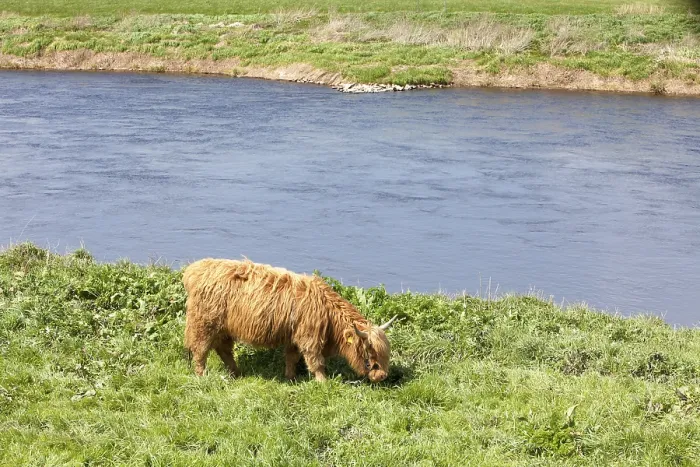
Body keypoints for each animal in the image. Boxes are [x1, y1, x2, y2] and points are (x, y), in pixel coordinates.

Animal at [182, 258, 398, 383]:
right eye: (370, 351)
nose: (382, 376)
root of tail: (194, 269)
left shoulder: (294, 336)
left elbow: (291, 357)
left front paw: (290, 377)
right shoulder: (309, 337)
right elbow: (315, 361)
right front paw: (323, 382)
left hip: (224, 328)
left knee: (224, 350)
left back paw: (236, 373)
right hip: (204, 324)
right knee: (201, 350)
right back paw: (202, 376)